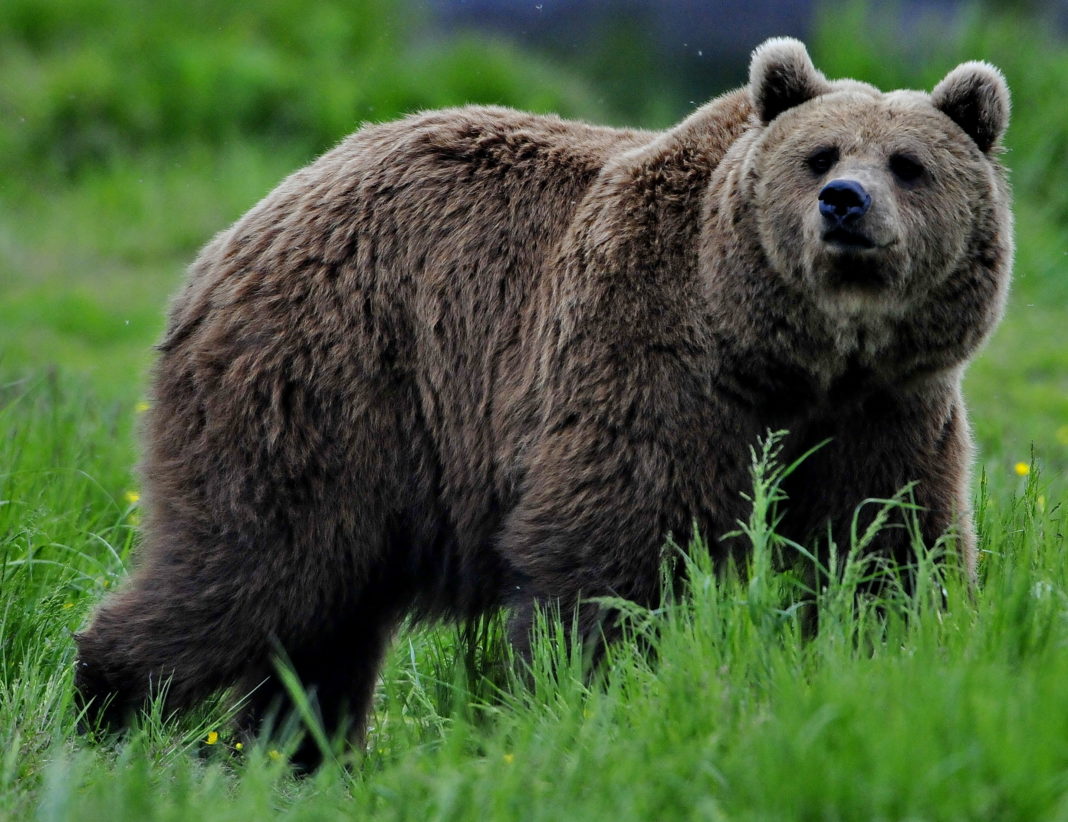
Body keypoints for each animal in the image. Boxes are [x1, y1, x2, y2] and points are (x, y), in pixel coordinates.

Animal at [75, 38, 1008, 755]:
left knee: (323, 616)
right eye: (819, 156)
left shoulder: (887, 409)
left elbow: (888, 547)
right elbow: (611, 554)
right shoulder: (654, 362)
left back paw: (301, 747)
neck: (791, 354)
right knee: (253, 563)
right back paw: (105, 702)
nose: (844, 204)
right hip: (330, 378)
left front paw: (902, 665)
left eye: (909, 165)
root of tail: (242, 229)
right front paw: (587, 695)